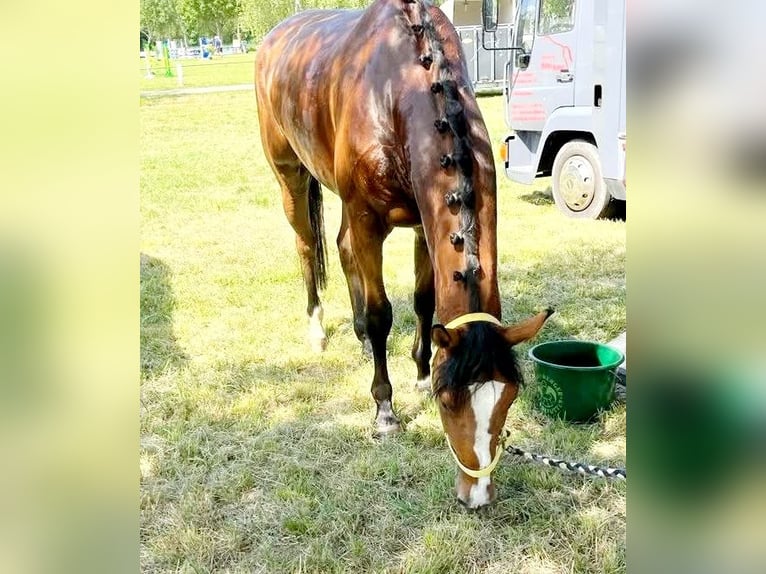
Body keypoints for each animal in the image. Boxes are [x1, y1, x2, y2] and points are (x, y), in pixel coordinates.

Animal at [255, 0, 552, 508]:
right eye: (448, 401)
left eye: (509, 396)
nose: (477, 494)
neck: (395, 90)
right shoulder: (367, 218)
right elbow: (381, 313)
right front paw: (385, 410)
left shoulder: (423, 222)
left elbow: (423, 302)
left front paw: (418, 371)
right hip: (289, 173)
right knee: (308, 245)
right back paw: (317, 330)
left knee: (340, 246)